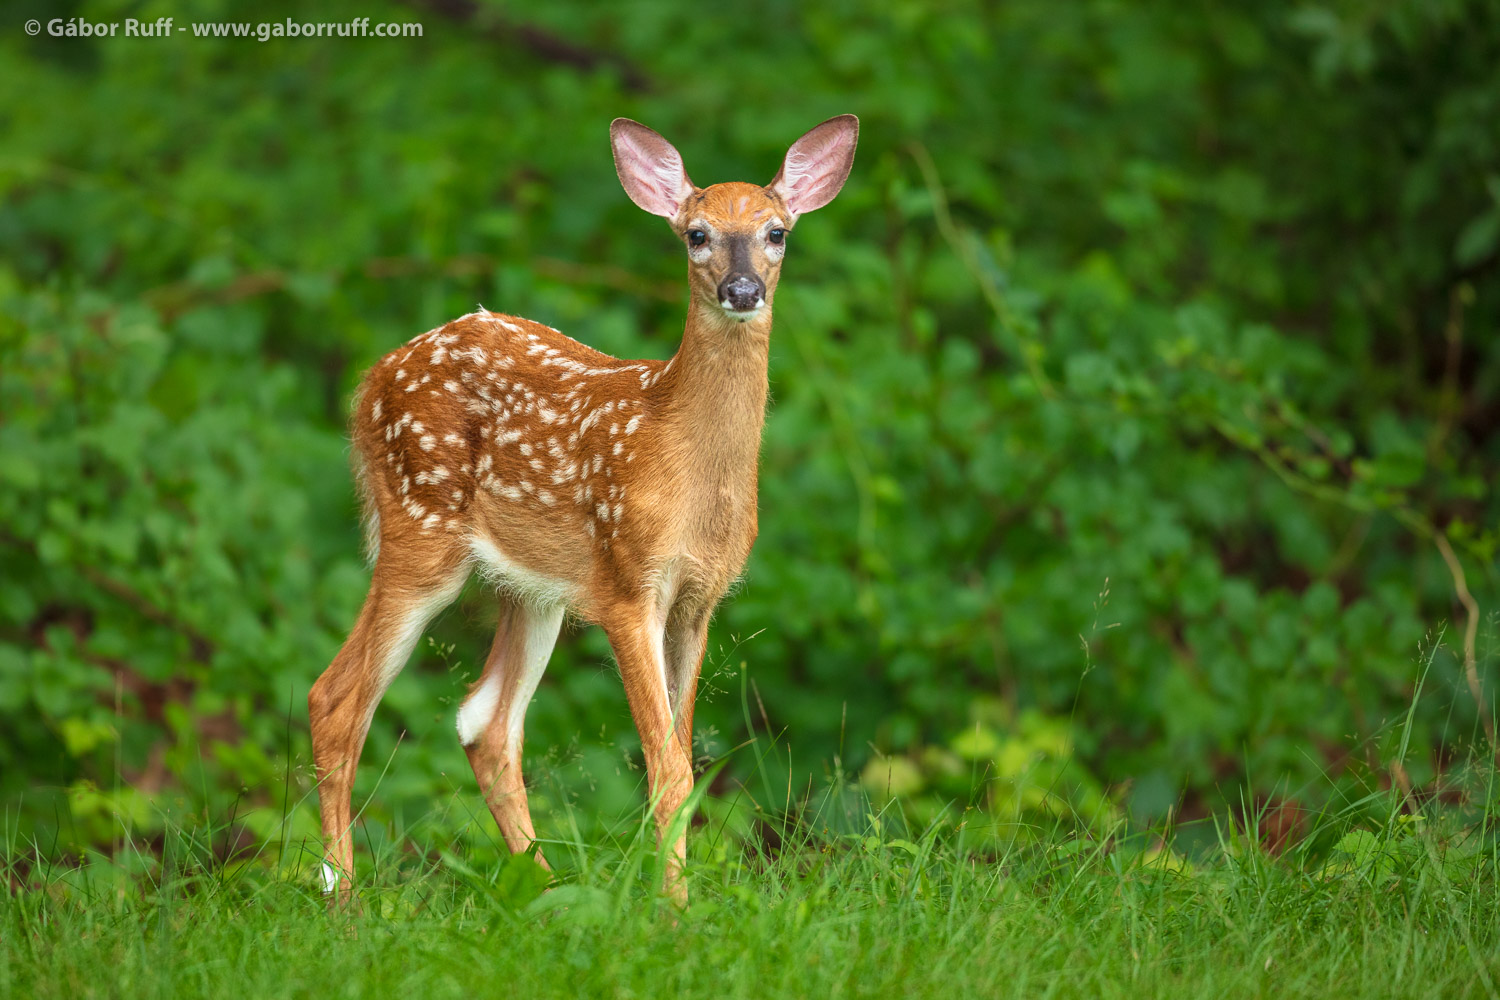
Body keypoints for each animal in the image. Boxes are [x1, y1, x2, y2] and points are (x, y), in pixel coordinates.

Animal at [307, 113, 858, 905]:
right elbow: (667, 767)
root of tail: (369, 381)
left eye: (777, 231)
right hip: (421, 528)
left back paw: (541, 892)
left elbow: (684, 760)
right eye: (696, 234)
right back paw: (345, 898)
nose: (742, 288)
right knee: (337, 701)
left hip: (533, 588)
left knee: (486, 721)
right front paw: (674, 912)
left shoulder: (699, 600)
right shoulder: (629, 583)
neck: (683, 459)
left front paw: (671, 900)